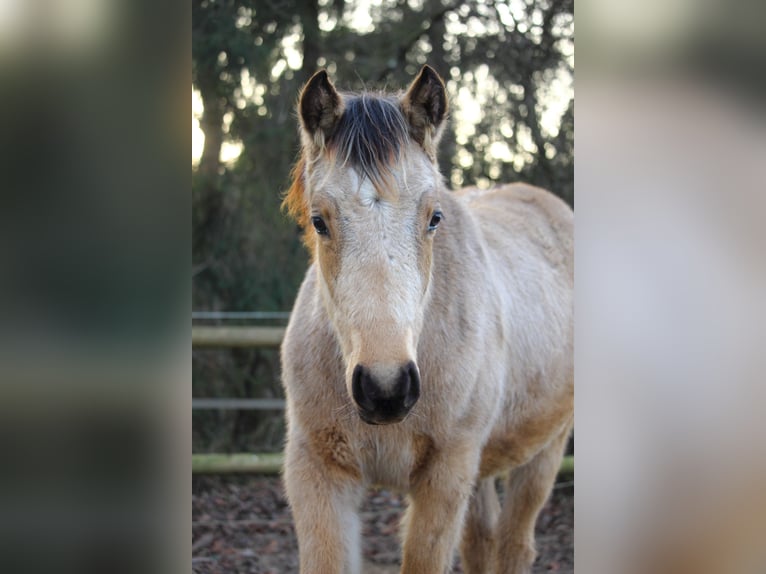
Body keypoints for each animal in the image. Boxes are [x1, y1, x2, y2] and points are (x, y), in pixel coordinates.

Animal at [280, 65, 573, 574]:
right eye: (319, 221)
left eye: (434, 217)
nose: (385, 388)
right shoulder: (317, 473)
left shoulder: (445, 478)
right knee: (481, 543)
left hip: (545, 449)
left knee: (514, 545)